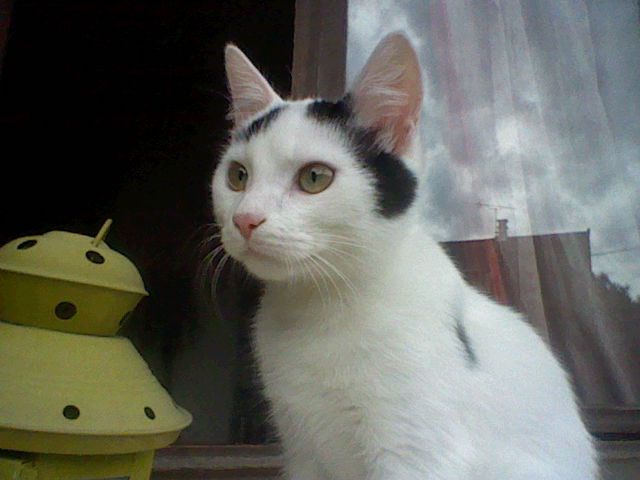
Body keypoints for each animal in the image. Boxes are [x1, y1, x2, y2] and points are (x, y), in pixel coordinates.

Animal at [211, 32, 598, 480]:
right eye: (237, 176)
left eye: (314, 178)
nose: (245, 219)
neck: (320, 308)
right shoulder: (303, 455)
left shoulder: (416, 449)